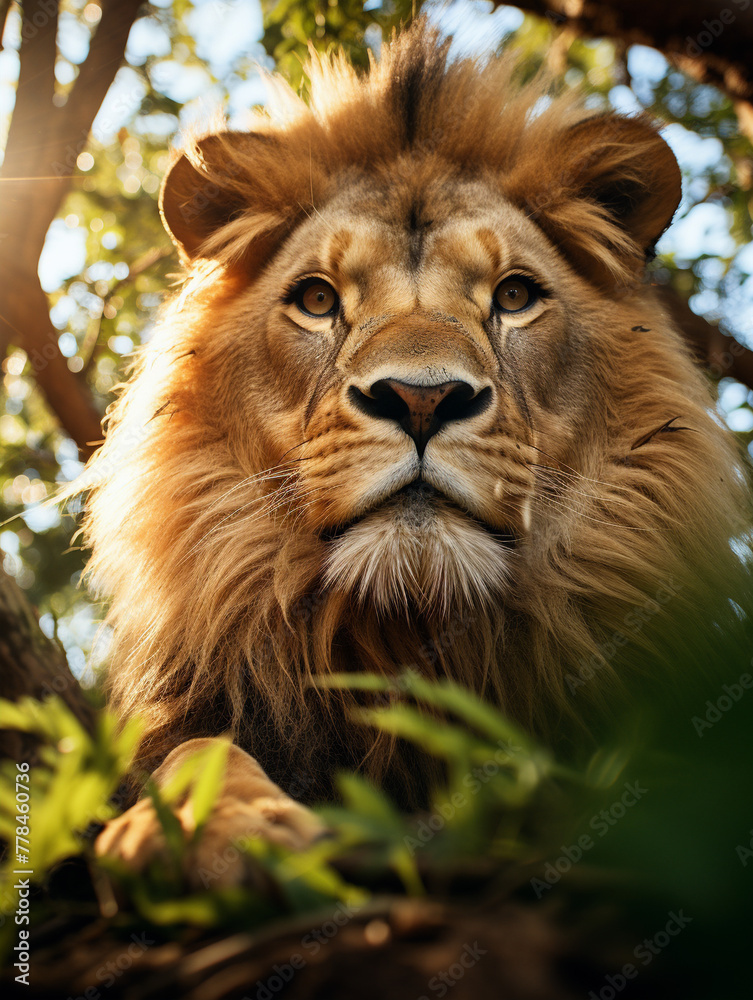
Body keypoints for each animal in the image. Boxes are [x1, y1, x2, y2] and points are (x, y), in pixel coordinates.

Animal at [87, 24, 751, 881]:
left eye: (512, 296)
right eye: (317, 300)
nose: (421, 400)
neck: (412, 640)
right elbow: (198, 753)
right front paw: (220, 830)